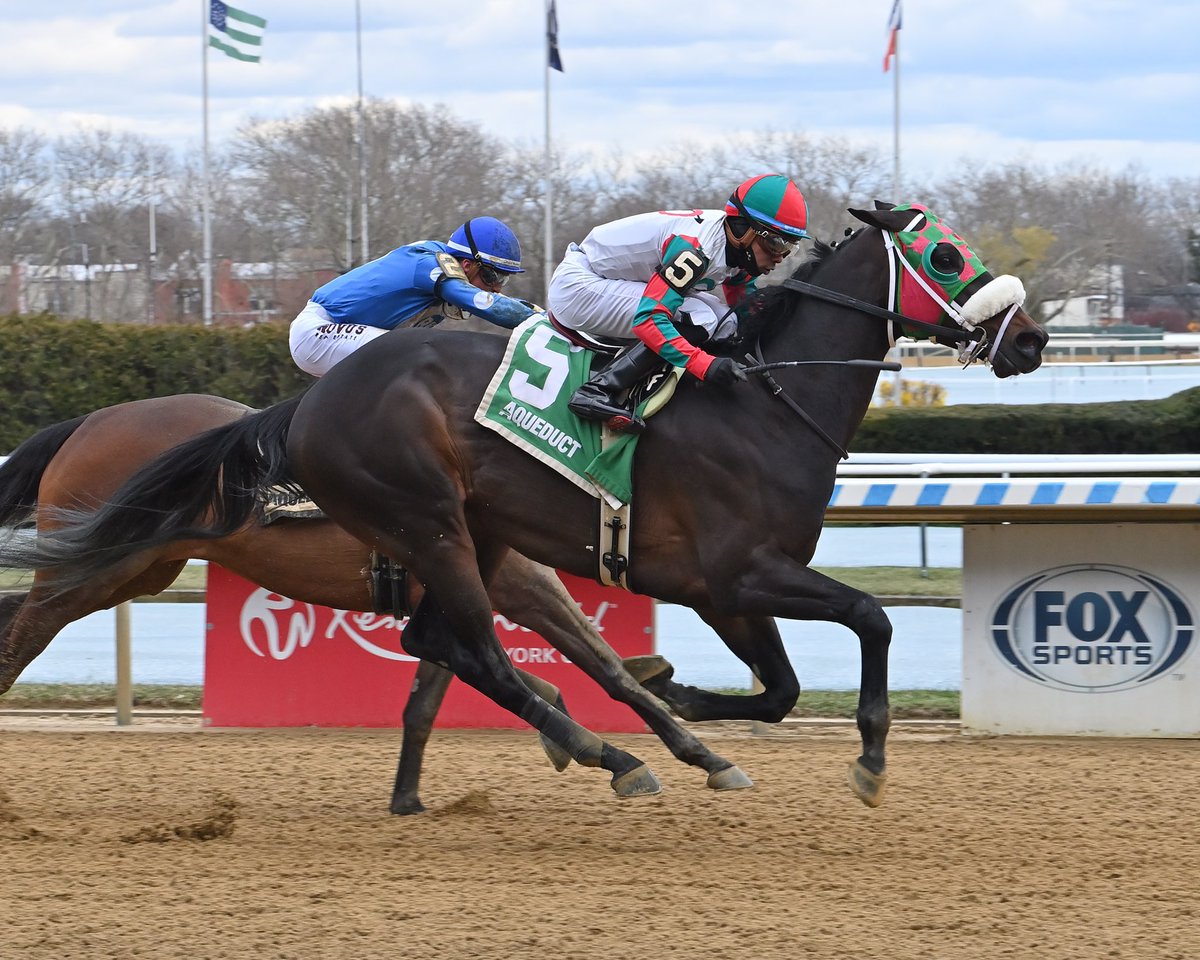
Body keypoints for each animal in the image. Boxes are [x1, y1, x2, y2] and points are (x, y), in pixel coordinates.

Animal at [0, 396, 748, 811]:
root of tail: (86, 424)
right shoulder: (508, 584)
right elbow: (568, 669)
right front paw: (614, 751)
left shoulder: (478, 589)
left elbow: (448, 695)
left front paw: (409, 799)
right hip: (92, 570)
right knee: (20, 641)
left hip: (138, 569)